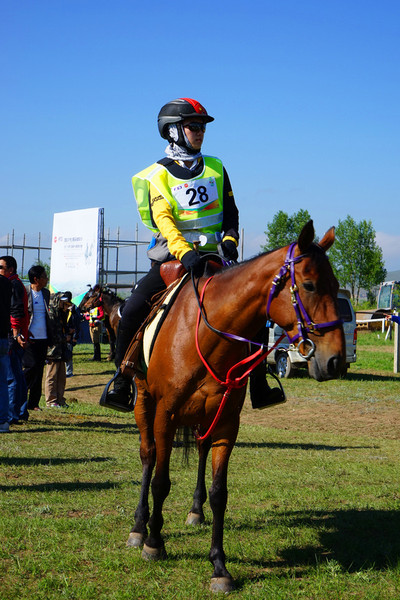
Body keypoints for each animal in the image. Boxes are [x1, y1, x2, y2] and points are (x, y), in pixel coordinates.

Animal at [124, 221, 344, 596]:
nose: (336, 361)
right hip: (144, 403)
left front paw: (219, 567)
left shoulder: (227, 422)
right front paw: (154, 542)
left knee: (199, 451)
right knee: (149, 456)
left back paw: (195, 512)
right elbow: (161, 481)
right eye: (310, 285)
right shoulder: (165, 414)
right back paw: (140, 528)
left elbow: (219, 494)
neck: (205, 334)